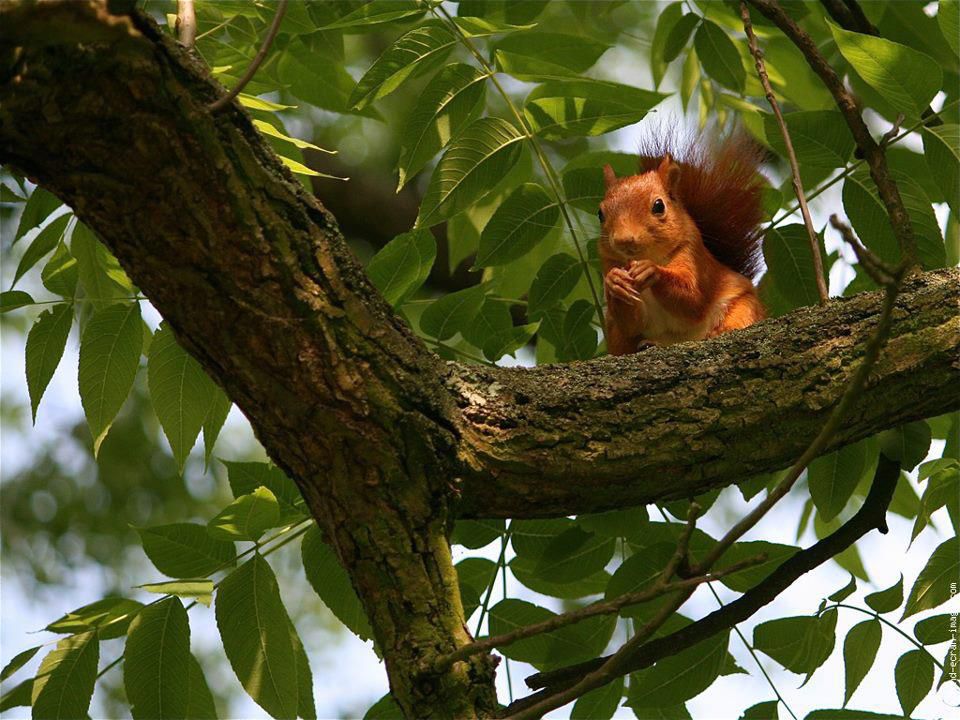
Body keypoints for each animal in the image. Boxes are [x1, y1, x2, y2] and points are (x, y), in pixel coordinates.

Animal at [600, 131, 764, 356]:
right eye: (600, 213)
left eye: (659, 206)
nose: (624, 240)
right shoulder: (609, 262)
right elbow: (631, 323)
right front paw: (614, 282)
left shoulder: (694, 256)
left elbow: (692, 299)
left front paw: (651, 270)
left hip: (744, 306)